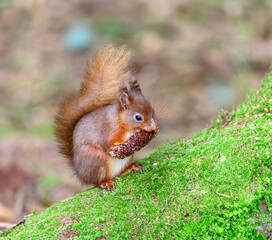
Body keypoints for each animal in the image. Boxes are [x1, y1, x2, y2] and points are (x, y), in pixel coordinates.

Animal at [54, 45, 158, 190]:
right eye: (138, 117)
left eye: (152, 110)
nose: (153, 126)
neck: (121, 122)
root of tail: (81, 174)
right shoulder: (108, 129)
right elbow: (108, 142)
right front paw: (115, 146)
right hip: (96, 160)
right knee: (98, 180)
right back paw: (105, 183)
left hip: (127, 158)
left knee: (118, 174)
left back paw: (131, 168)